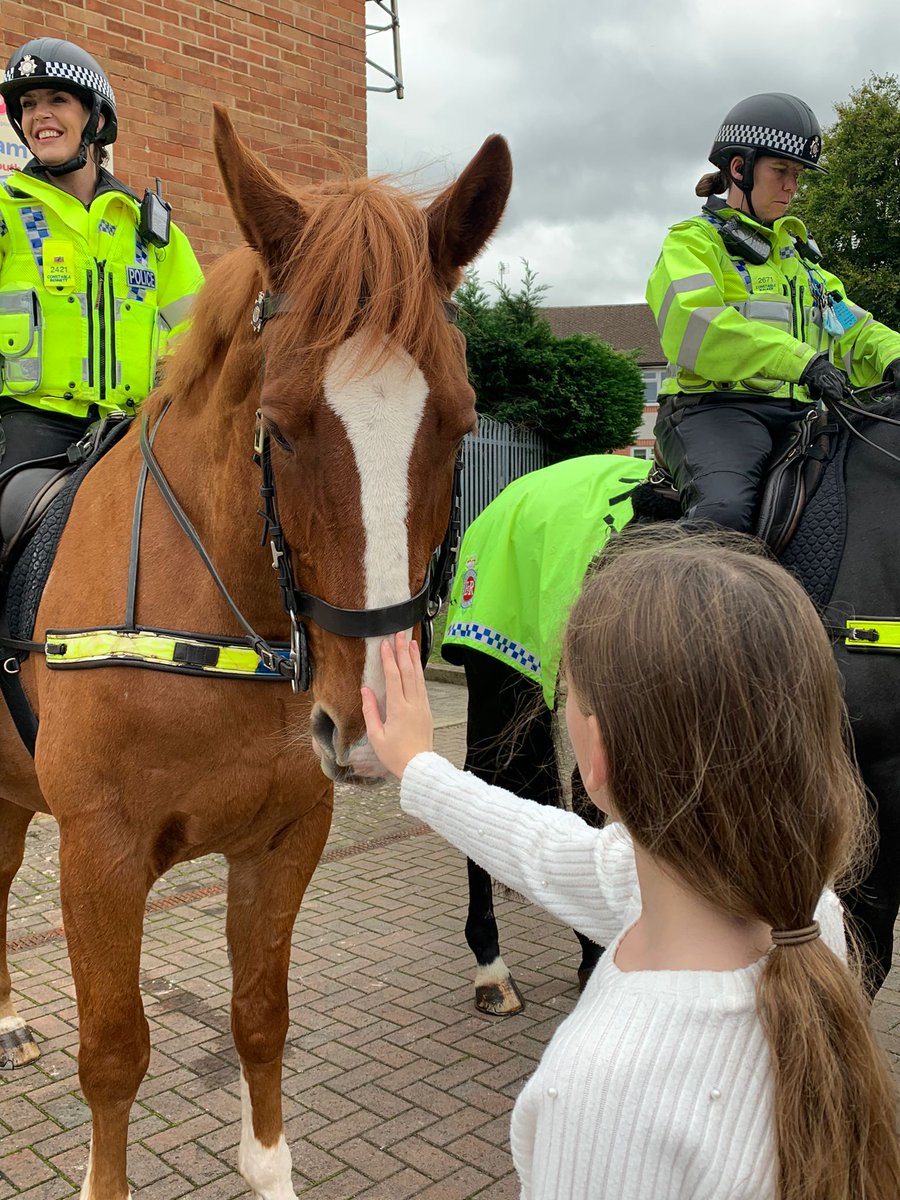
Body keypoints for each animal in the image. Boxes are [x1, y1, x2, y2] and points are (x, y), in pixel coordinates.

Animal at [0, 105, 512, 1199]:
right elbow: (115, 1054)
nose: (369, 729)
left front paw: (270, 1167)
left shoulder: (281, 844)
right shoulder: (99, 858)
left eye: (456, 424)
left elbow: (261, 1022)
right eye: (278, 425)